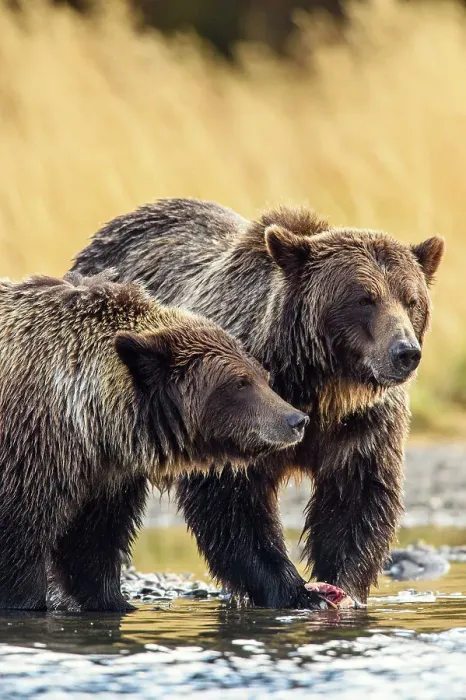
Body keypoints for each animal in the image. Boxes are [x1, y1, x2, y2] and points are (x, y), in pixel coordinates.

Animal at [0, 271, 313, 612]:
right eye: (240, 383)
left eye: (263, 376)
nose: (296, 420)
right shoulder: (32, 452)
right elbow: (20, 545)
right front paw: (26, 602)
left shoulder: (106, 479)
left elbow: (93, 546)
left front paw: (113, 602)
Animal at [72, 199, 444, 608]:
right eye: (365, 298)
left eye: (411, 300)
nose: (405, 352)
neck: (319, 387)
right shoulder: (235, 408)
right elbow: (232, 503)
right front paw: (293, 590)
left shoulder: (363, 423)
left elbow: (357, 498)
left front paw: (344, 588)